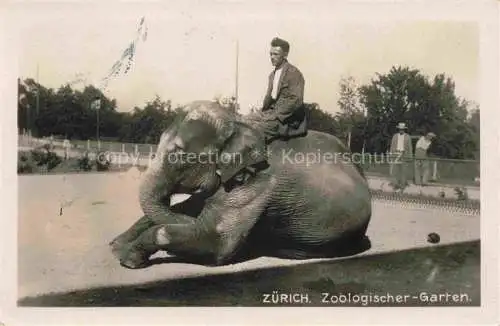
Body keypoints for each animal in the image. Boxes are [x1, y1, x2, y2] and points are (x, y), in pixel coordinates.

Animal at [111, 100, 374, 268]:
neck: (237, 124)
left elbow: (216, 241)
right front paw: (116, 245)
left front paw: (128, 259)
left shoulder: (257, 186)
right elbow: (187, 208)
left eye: (179, 155)